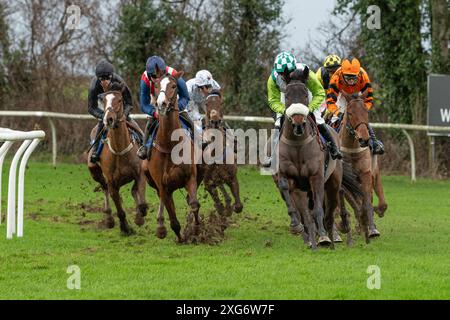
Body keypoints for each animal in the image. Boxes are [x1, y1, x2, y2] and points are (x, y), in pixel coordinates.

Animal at [85, 84, 146, 236]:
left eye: (119, 100)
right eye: (104, 100)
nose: (109, 119)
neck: (120, 150)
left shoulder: (140, 174)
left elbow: (141, 202)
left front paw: (139, 217)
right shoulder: (112, 182)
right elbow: (119, 208)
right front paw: (125, 227)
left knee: (133, 191)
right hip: (95, 171)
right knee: (104, 188)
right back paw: (109, 218)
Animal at [143, 72, 201, 242]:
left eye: (174, 86)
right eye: (156, 85)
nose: (161, 104)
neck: (170, 145)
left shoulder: (190, 177)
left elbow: (194, 203)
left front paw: (195, 229)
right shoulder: (163, 186)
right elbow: (173, 219)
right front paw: (180, 237)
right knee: (162, 199)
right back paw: (160, 226)